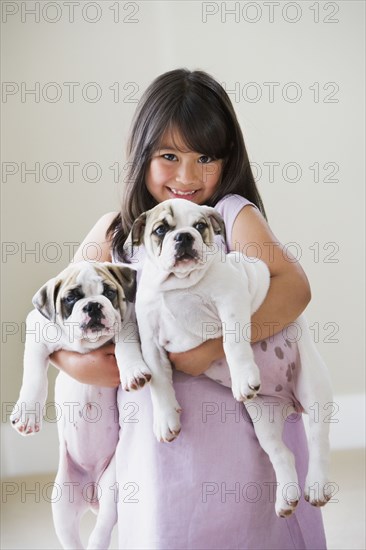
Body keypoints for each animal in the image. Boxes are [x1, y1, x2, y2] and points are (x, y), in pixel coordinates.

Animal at [10, 264, 151, 550]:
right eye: (71, 298)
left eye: (109, 292)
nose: (93, 305)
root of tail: (91, 494)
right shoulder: (37, 329)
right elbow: (34, 374)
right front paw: (28, 413)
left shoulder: (127, 323)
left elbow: (125, 344)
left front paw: (133, 370)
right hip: (61, 505)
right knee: (70, 537)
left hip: (112, 488)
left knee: (103, 526)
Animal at [127, 199, 334, 520]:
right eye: (161, 230)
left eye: (200, 226)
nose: (184, 237)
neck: (179, 285)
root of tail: (291, 402)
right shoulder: (150, 339)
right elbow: (159, 382)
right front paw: (166, 419)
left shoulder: (230, 299)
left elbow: (232, 343)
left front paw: (242, 377)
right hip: (263, 418)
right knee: (281, 453)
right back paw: (286, 498)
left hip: (314, 386)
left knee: (318, 438)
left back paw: (317, 486)